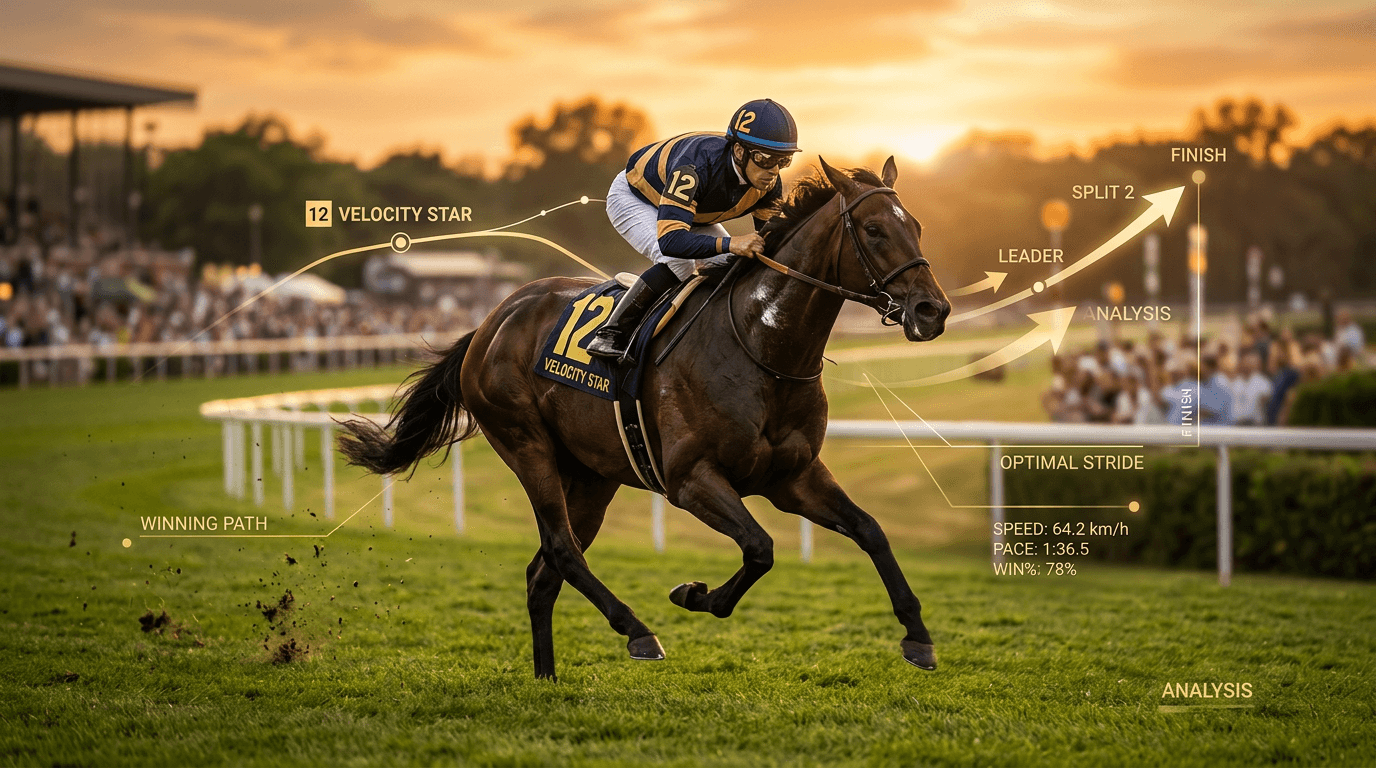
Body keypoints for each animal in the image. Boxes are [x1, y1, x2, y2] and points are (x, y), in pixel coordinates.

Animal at [339, 157, 951, 680]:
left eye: (919, 226)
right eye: (873, 229)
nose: (933, 310)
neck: (761, 346)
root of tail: (491, 321)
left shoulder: (792, 477)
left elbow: (870, 531)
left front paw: (918, 637)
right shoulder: (690, 479)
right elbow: (760, 548)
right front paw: (695, 594)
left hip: (591, 476)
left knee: (543, 573)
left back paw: (546, 677)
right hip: (525, 444)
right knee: (561, 550)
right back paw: (637, 631)